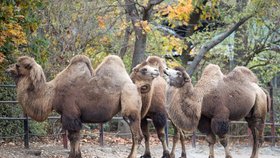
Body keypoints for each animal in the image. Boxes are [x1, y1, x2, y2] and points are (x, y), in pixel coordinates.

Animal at [6, 54, 143, 158]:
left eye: (18, 65)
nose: (7, 69)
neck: (52, 94)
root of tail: (135, 85)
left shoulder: (70, 113)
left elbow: (73, 137)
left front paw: (73, 155)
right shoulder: (69, 116)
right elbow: (75, 136)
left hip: (130, 102)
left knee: (137, 135)